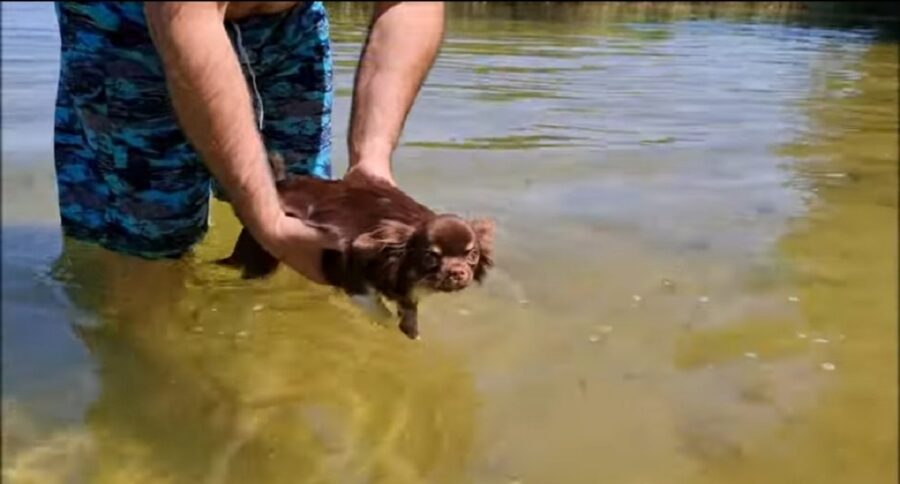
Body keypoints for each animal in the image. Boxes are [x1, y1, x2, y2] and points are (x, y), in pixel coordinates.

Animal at [221, 163, 496, 340]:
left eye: (472, 256)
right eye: (431, 257)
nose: (458, 272)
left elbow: (408, 309)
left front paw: (411, 331)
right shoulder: (350, 273)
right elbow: (378, 308)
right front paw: (387, 323)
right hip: (259, 255)